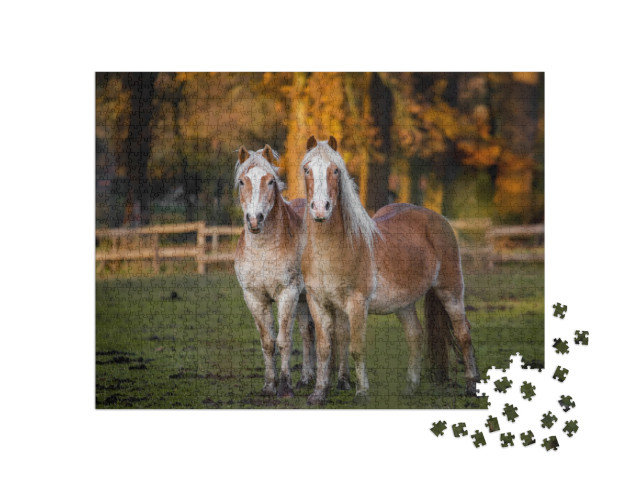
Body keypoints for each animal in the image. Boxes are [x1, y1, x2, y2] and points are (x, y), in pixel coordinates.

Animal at [298, 136, 476, 404]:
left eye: (336, 170)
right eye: (307, 169)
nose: (320, 208)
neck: (332, 249)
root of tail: (437, 218)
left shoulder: (357, 304)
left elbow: (357, 348)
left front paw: (362, 393)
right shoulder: (317, 302)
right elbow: (324, 348)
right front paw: (318, 394)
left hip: (450, 291)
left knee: (463, 333)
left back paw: (472, 386)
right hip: (404, 303)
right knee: (415, 335)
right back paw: (410, 387)